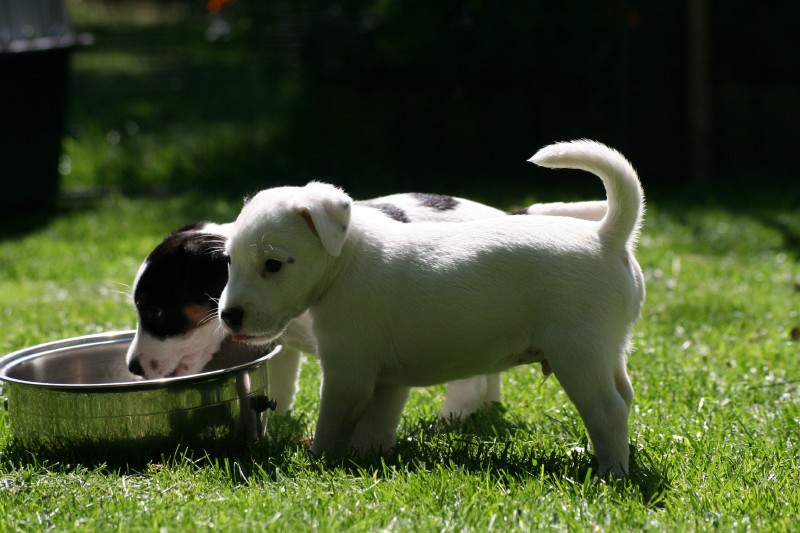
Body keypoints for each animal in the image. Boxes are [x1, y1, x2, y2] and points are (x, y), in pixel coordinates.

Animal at [219, 139, 644, 472]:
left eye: (273, 265)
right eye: (228, 260)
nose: (229, 317)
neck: (347, 260)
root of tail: (606, 237)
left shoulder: (346, 374)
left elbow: (333, 423)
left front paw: (320, 461)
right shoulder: (385, 382)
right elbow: (375, 424)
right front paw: (365, 459)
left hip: (577, 354)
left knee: (607, 410)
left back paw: (611, 474)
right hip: (608, 351)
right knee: (624, 399)